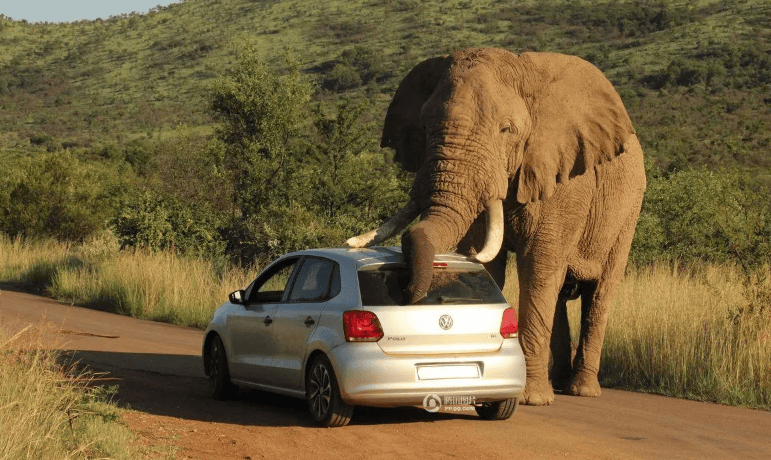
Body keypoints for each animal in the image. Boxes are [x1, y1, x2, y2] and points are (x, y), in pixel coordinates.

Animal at [348, 48, 644, 404]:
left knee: (598, 292)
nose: (402, 291)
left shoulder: (565, 182)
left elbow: (538, 267)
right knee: (560, 293)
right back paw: (559, 383)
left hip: (627, 211)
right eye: (425, 125)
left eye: (506, 130)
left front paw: (531, 398)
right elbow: (489, 262)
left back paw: (581, 390)